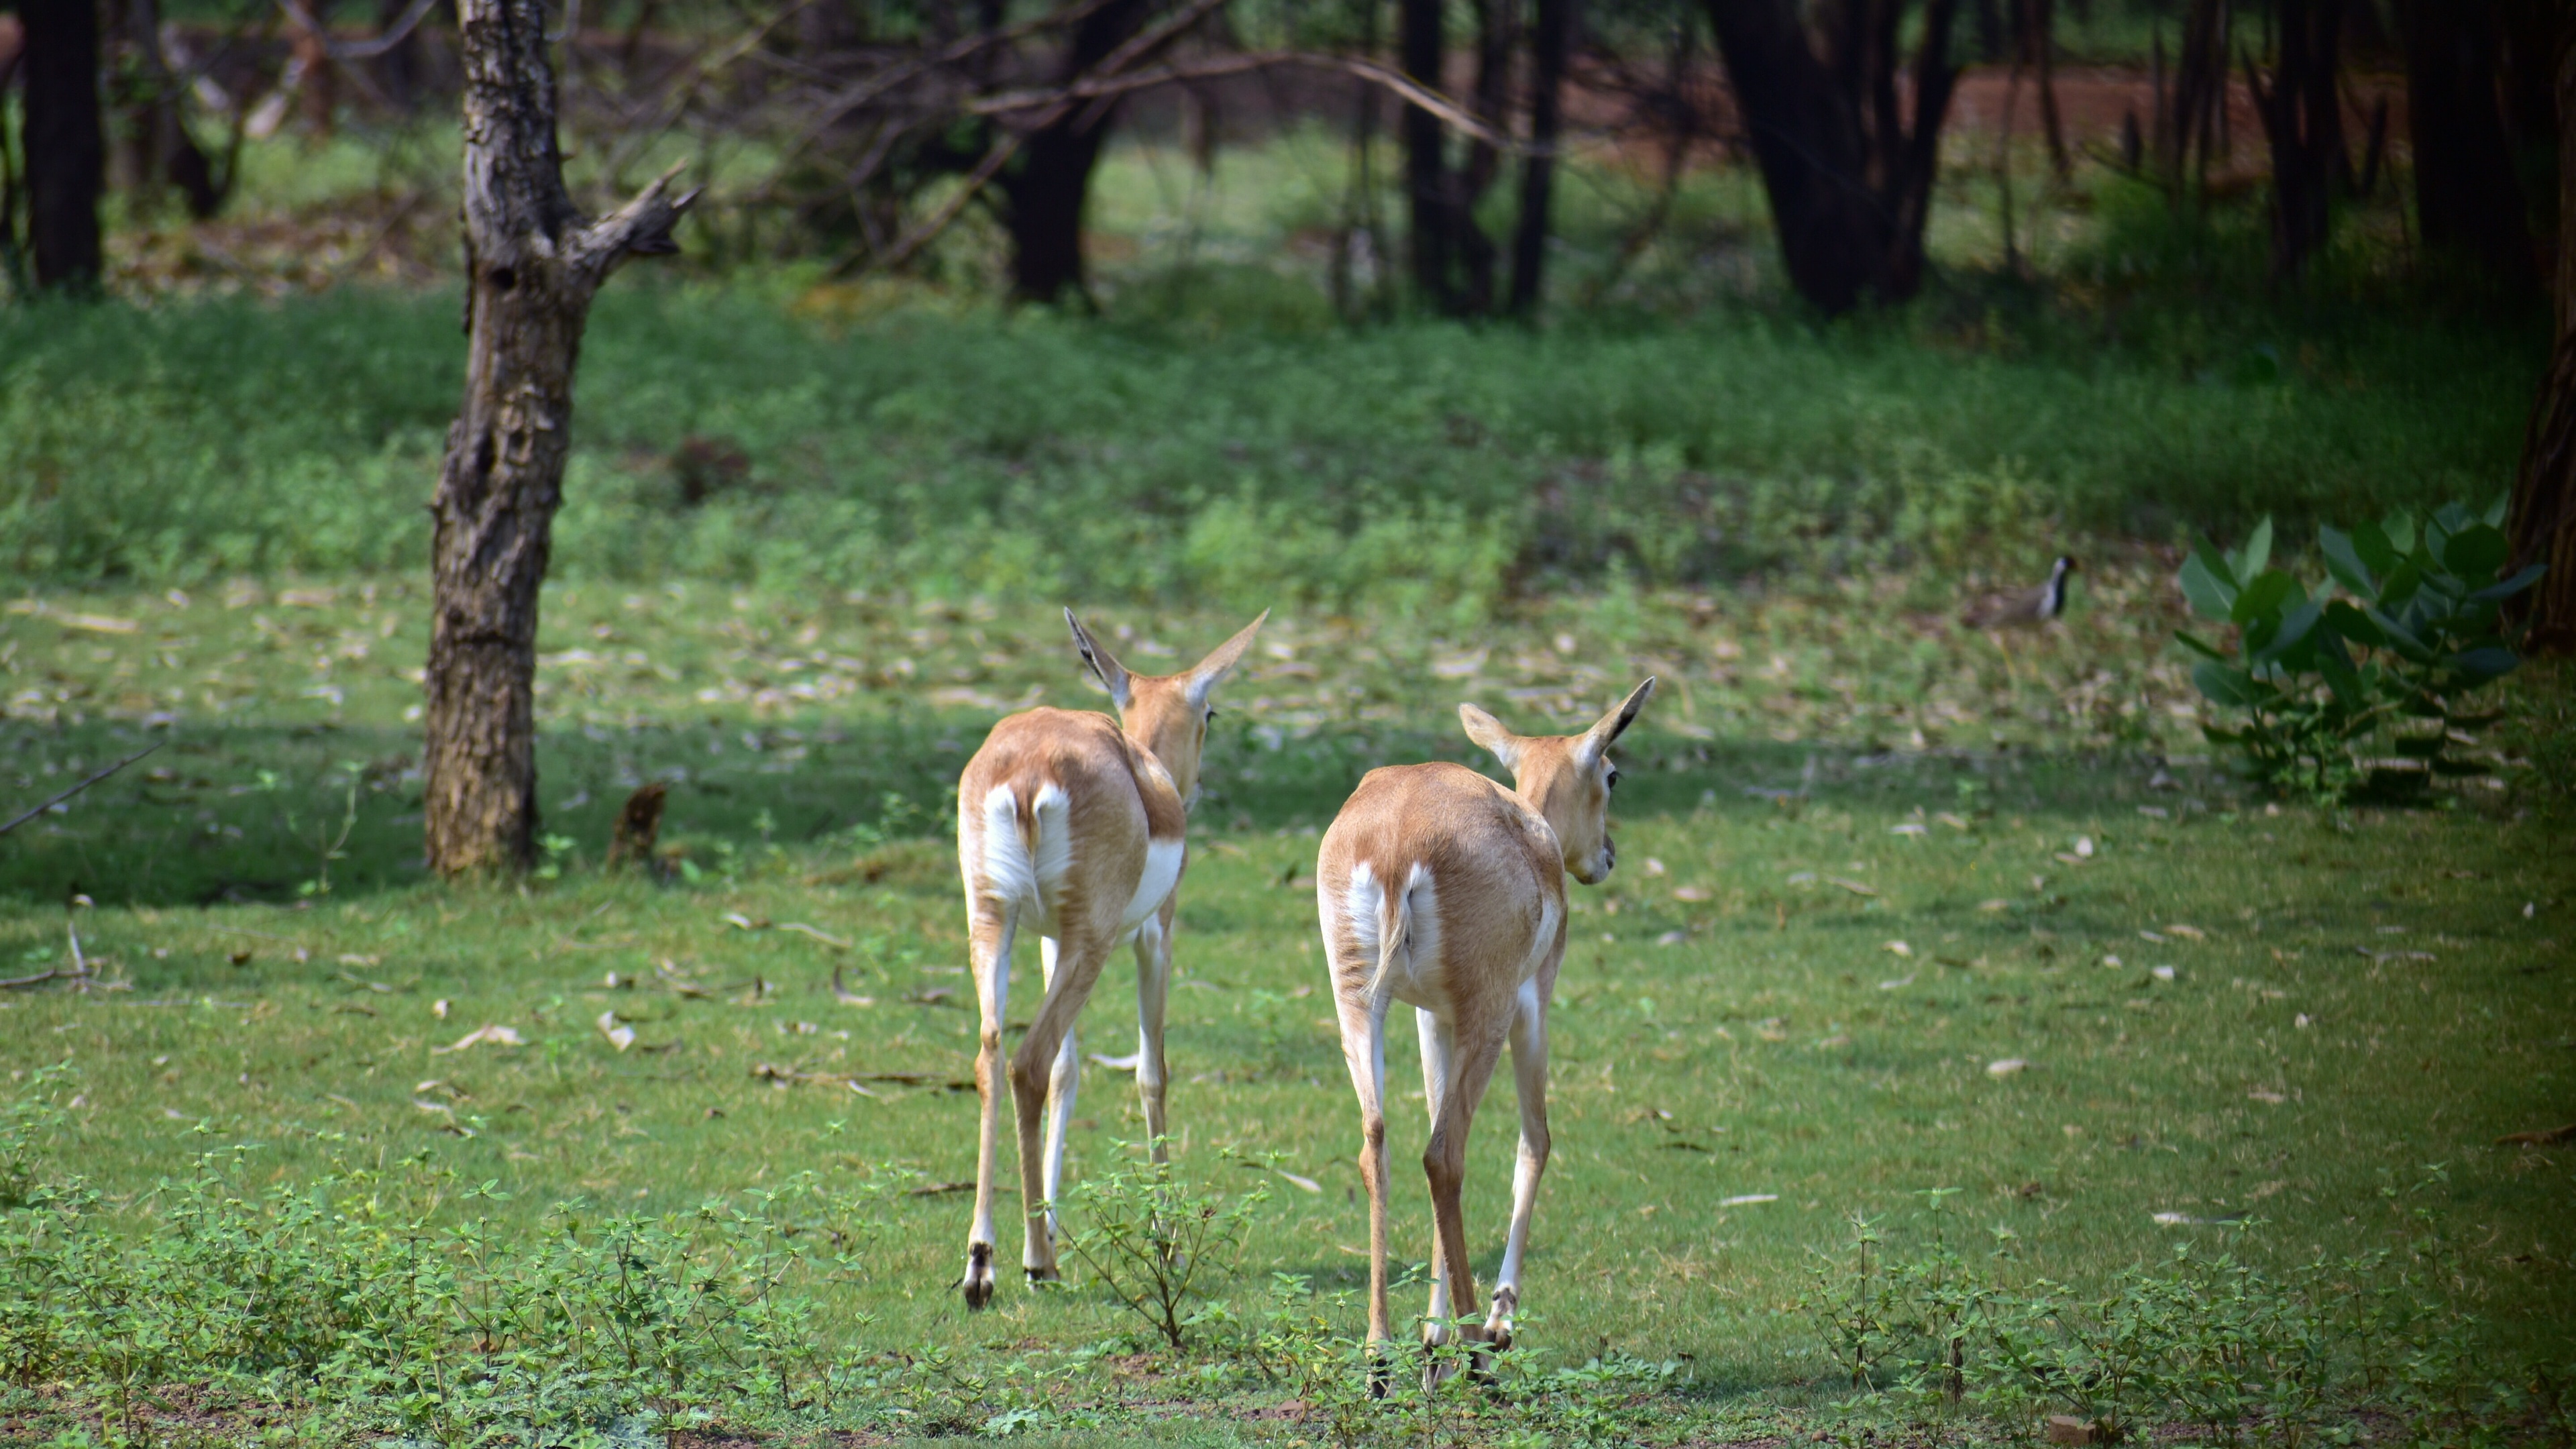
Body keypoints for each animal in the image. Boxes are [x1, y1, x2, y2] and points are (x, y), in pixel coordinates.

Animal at [953, 603, 1262, 1304]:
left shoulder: (1049, 937)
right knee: (1029, 1062)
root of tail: (1029, 771)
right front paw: (1168, 1241)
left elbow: (1071, 1072)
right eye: (1211, 712)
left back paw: (982, 1262)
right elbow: (1152, 1071)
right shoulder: (1155, 935)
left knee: (993, 1055)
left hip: (995, 920)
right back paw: (1035, 1261)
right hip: (1091, 943)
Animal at [1319, 675, 1658, 1371]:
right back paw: (1479, 1348)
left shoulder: (1431, 1016)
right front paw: (1497, 1322)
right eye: (1612, 774)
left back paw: (1380, 1354)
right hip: (1491, 1014)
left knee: (1379, 1142)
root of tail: (1398, 844)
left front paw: (1433, 1334)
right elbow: (1536, 1140)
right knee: (1445, 1154)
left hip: (1359, 1002)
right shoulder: (1530, 1006)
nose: (1609, 855)